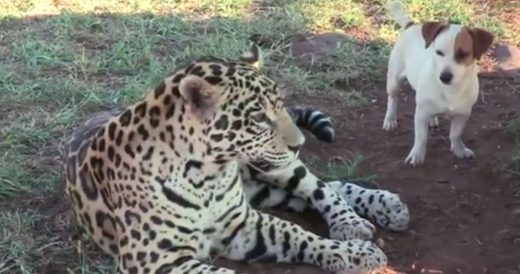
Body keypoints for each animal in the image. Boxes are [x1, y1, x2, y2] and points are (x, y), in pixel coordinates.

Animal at [382, 1, 496, 166]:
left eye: (463, 54)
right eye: (438, 52)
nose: (445, 77)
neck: (450, 91)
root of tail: (412, 26)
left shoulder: (463, 114)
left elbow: (455, 134)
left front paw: (459, 150)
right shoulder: (421, 113)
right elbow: (421, 137)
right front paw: (417, 154)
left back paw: (433, 120)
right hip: (394, 81)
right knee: (392, 99)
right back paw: (390, 119)